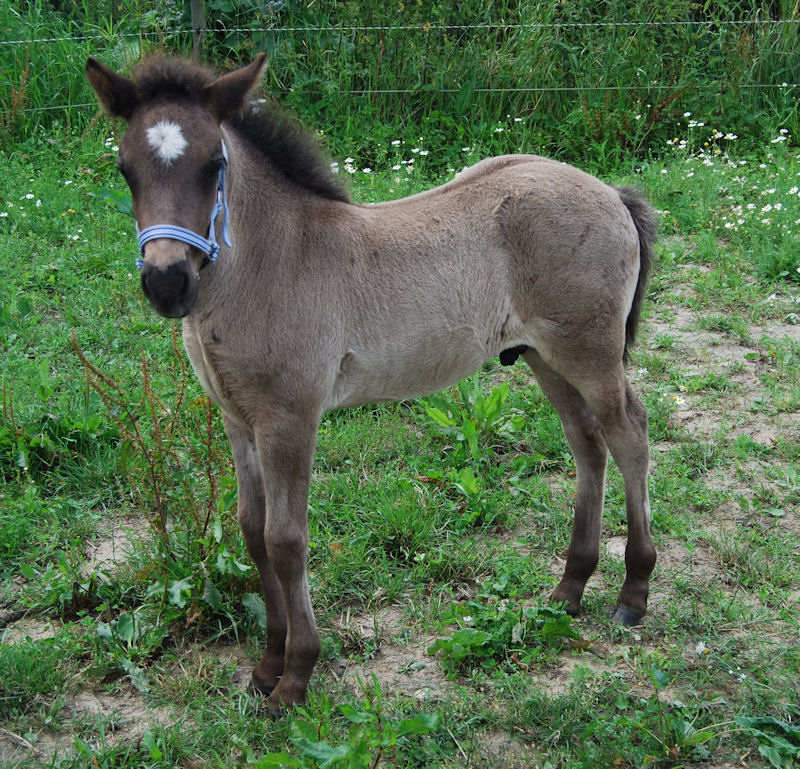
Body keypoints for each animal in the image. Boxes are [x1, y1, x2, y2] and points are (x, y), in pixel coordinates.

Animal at [87, 54, 656, 712]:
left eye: (214, 164)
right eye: (125, 169)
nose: (167, 283)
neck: (274, 261)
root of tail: (612, 192)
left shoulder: (290, 418)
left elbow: (286, 540)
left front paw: (296, 677)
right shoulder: (238, 419)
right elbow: (253, 532)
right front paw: (265, 665)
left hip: (590, 354)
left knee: (629, 434)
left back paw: (633, 591)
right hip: (545, 356)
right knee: (587, 443)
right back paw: (569, 587)